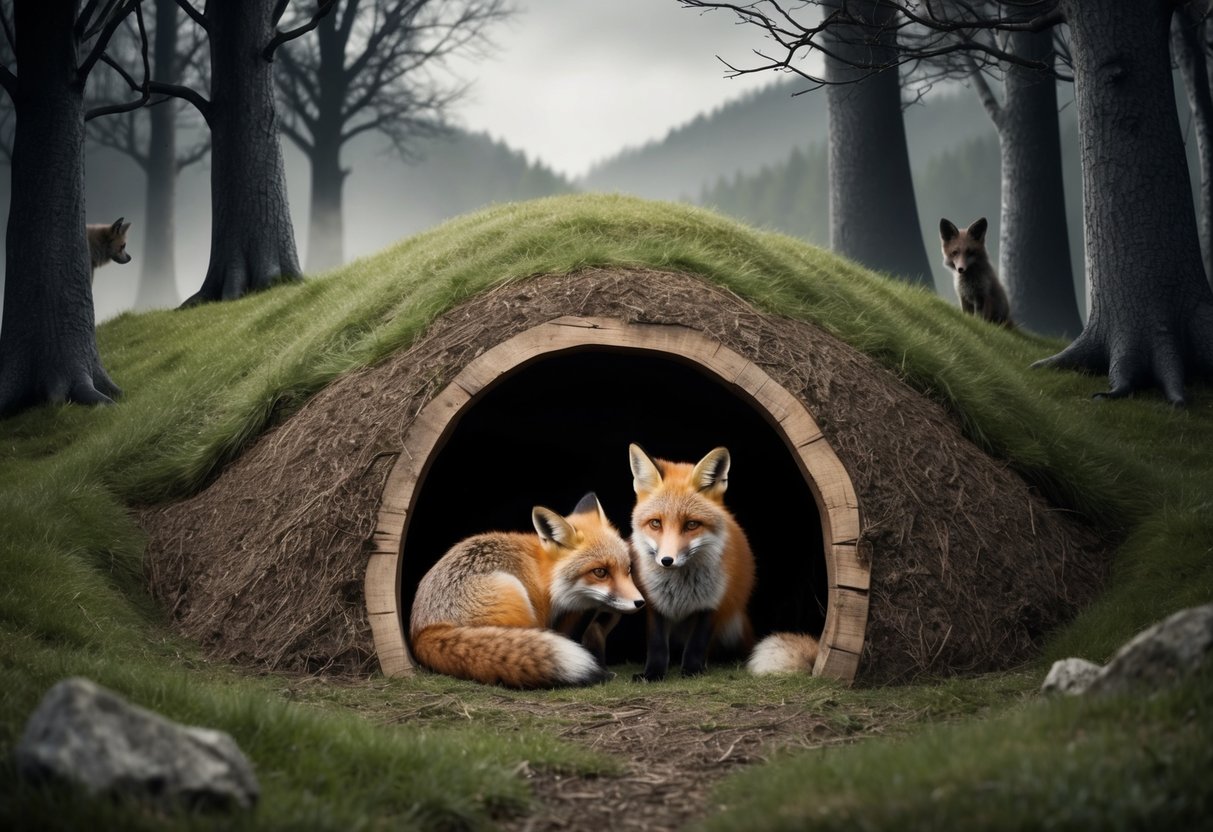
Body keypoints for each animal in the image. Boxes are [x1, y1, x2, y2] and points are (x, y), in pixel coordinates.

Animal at [408, 492, 645, 688]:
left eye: (628, 569)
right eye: (600, 572)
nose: (640, 602)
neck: (543, 575)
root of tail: (422, 631)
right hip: (515, 595)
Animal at [628, 444, 756, 681]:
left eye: (692, 524)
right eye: (655, 523)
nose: (667, 560)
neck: (680, 589)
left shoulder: (713, 601)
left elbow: (697, 642)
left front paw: (692, 670)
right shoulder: (654, 603)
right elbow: (657, 644)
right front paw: (653, 673)